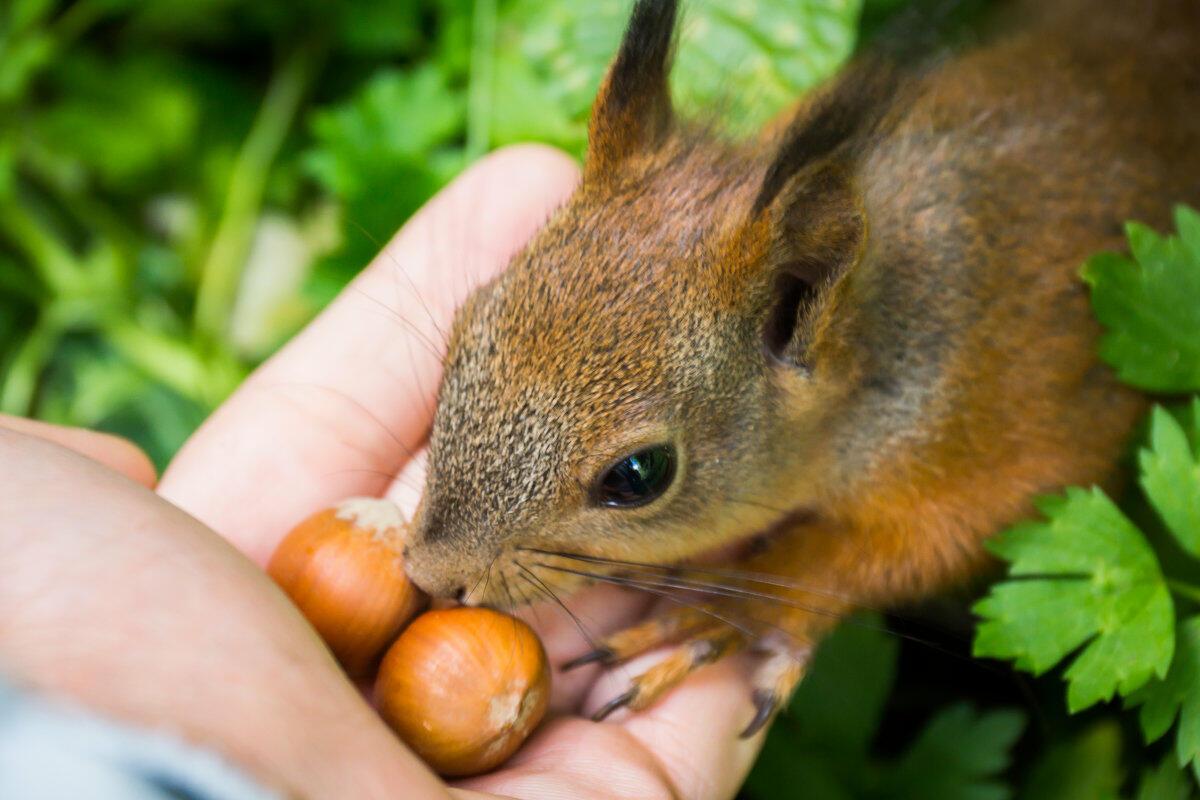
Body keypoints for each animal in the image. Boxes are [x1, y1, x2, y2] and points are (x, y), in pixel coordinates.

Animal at [400, 0, 1200, 738]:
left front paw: (719, 613)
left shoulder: (1006, 441)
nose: (431, 574)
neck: (884, 346)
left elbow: (914, 544)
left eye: (639, 475)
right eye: (466, 325)